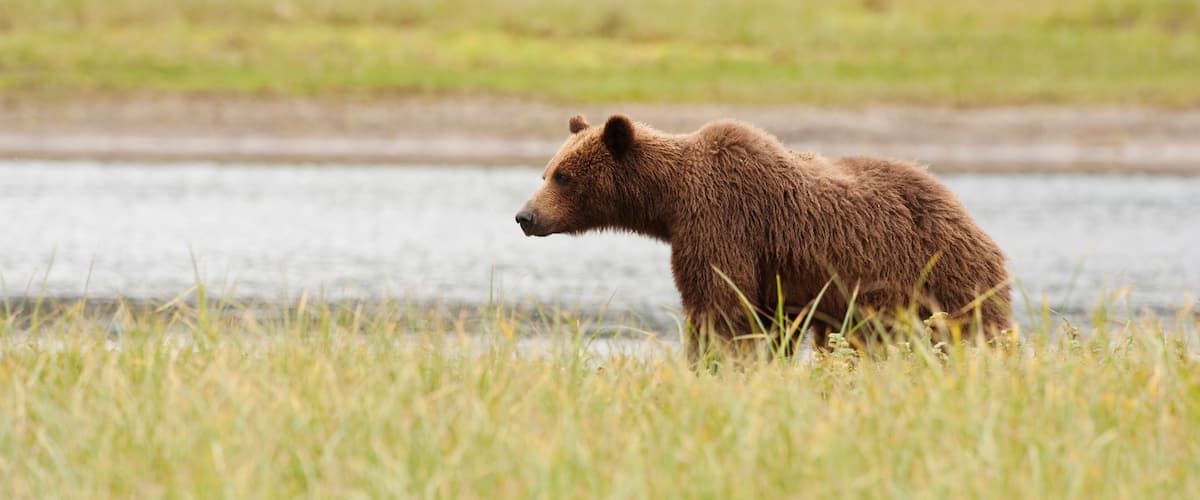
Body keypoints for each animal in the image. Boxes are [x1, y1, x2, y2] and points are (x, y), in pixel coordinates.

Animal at [515, 114, 1010, 360]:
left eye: (562, 176)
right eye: (546, 172)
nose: (525, 215)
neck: (670, 202)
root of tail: (967, 215)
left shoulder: (723, 221)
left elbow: (720, 308)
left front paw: (710, 363)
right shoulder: (774, 273)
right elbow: (762, 323)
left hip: (940, 273)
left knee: (974, 328)